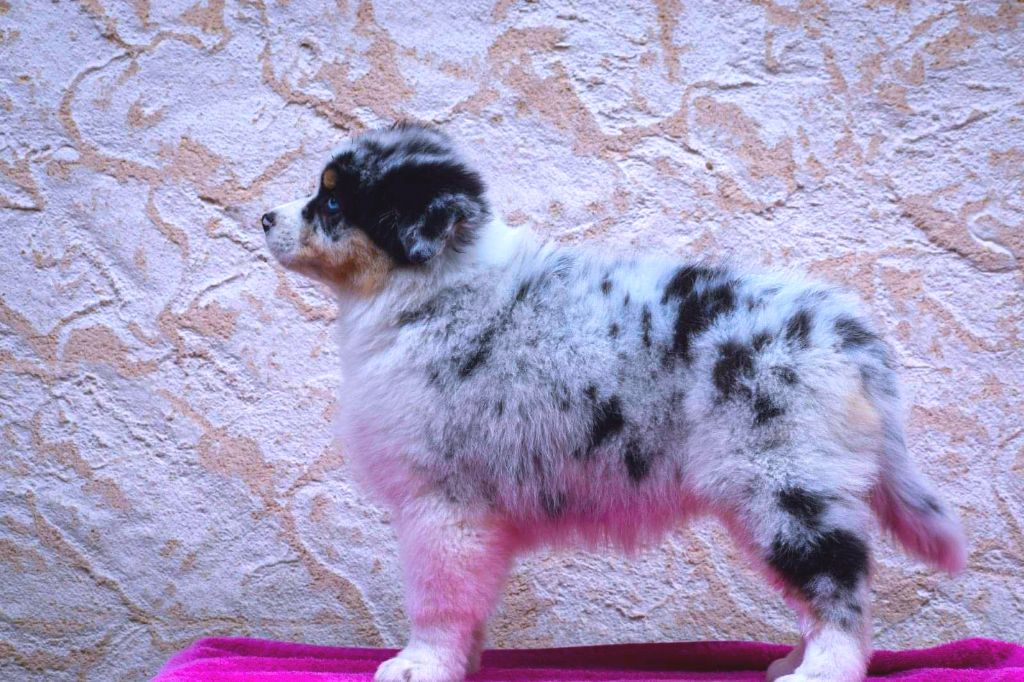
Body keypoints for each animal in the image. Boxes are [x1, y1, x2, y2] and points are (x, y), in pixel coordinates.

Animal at [261, 122, 966, 682]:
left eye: (331, 201)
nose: (264, 217)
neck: (435, 290)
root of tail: (852, 335)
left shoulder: (443, 503)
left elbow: (437, 600)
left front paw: (419, 665)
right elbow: (471, 606)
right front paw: (461, 663)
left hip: (785, 482)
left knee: (838, 584)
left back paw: (821, 672)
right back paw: (793, 660)